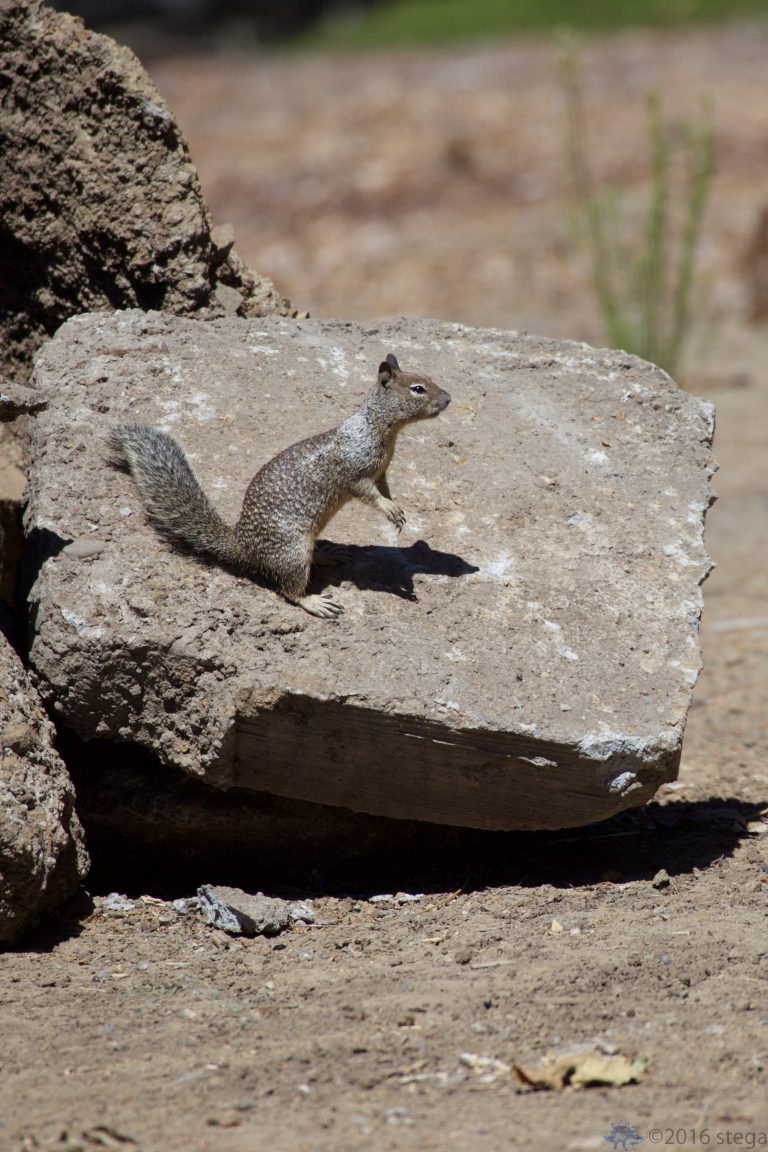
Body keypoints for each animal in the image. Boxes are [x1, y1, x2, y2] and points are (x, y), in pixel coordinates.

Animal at [108, 353, 451, 618]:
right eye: (418, 389)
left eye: (429, 379)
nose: (448, 398)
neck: (380, 428)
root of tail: (243, 548)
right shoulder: (355, 472)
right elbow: (367, 494)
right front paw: (389, 511)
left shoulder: (382, 473)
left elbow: (386, 489)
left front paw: (397, 509)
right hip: (293, 551)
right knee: (289, 590)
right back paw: (315, 602)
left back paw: (327, 555)